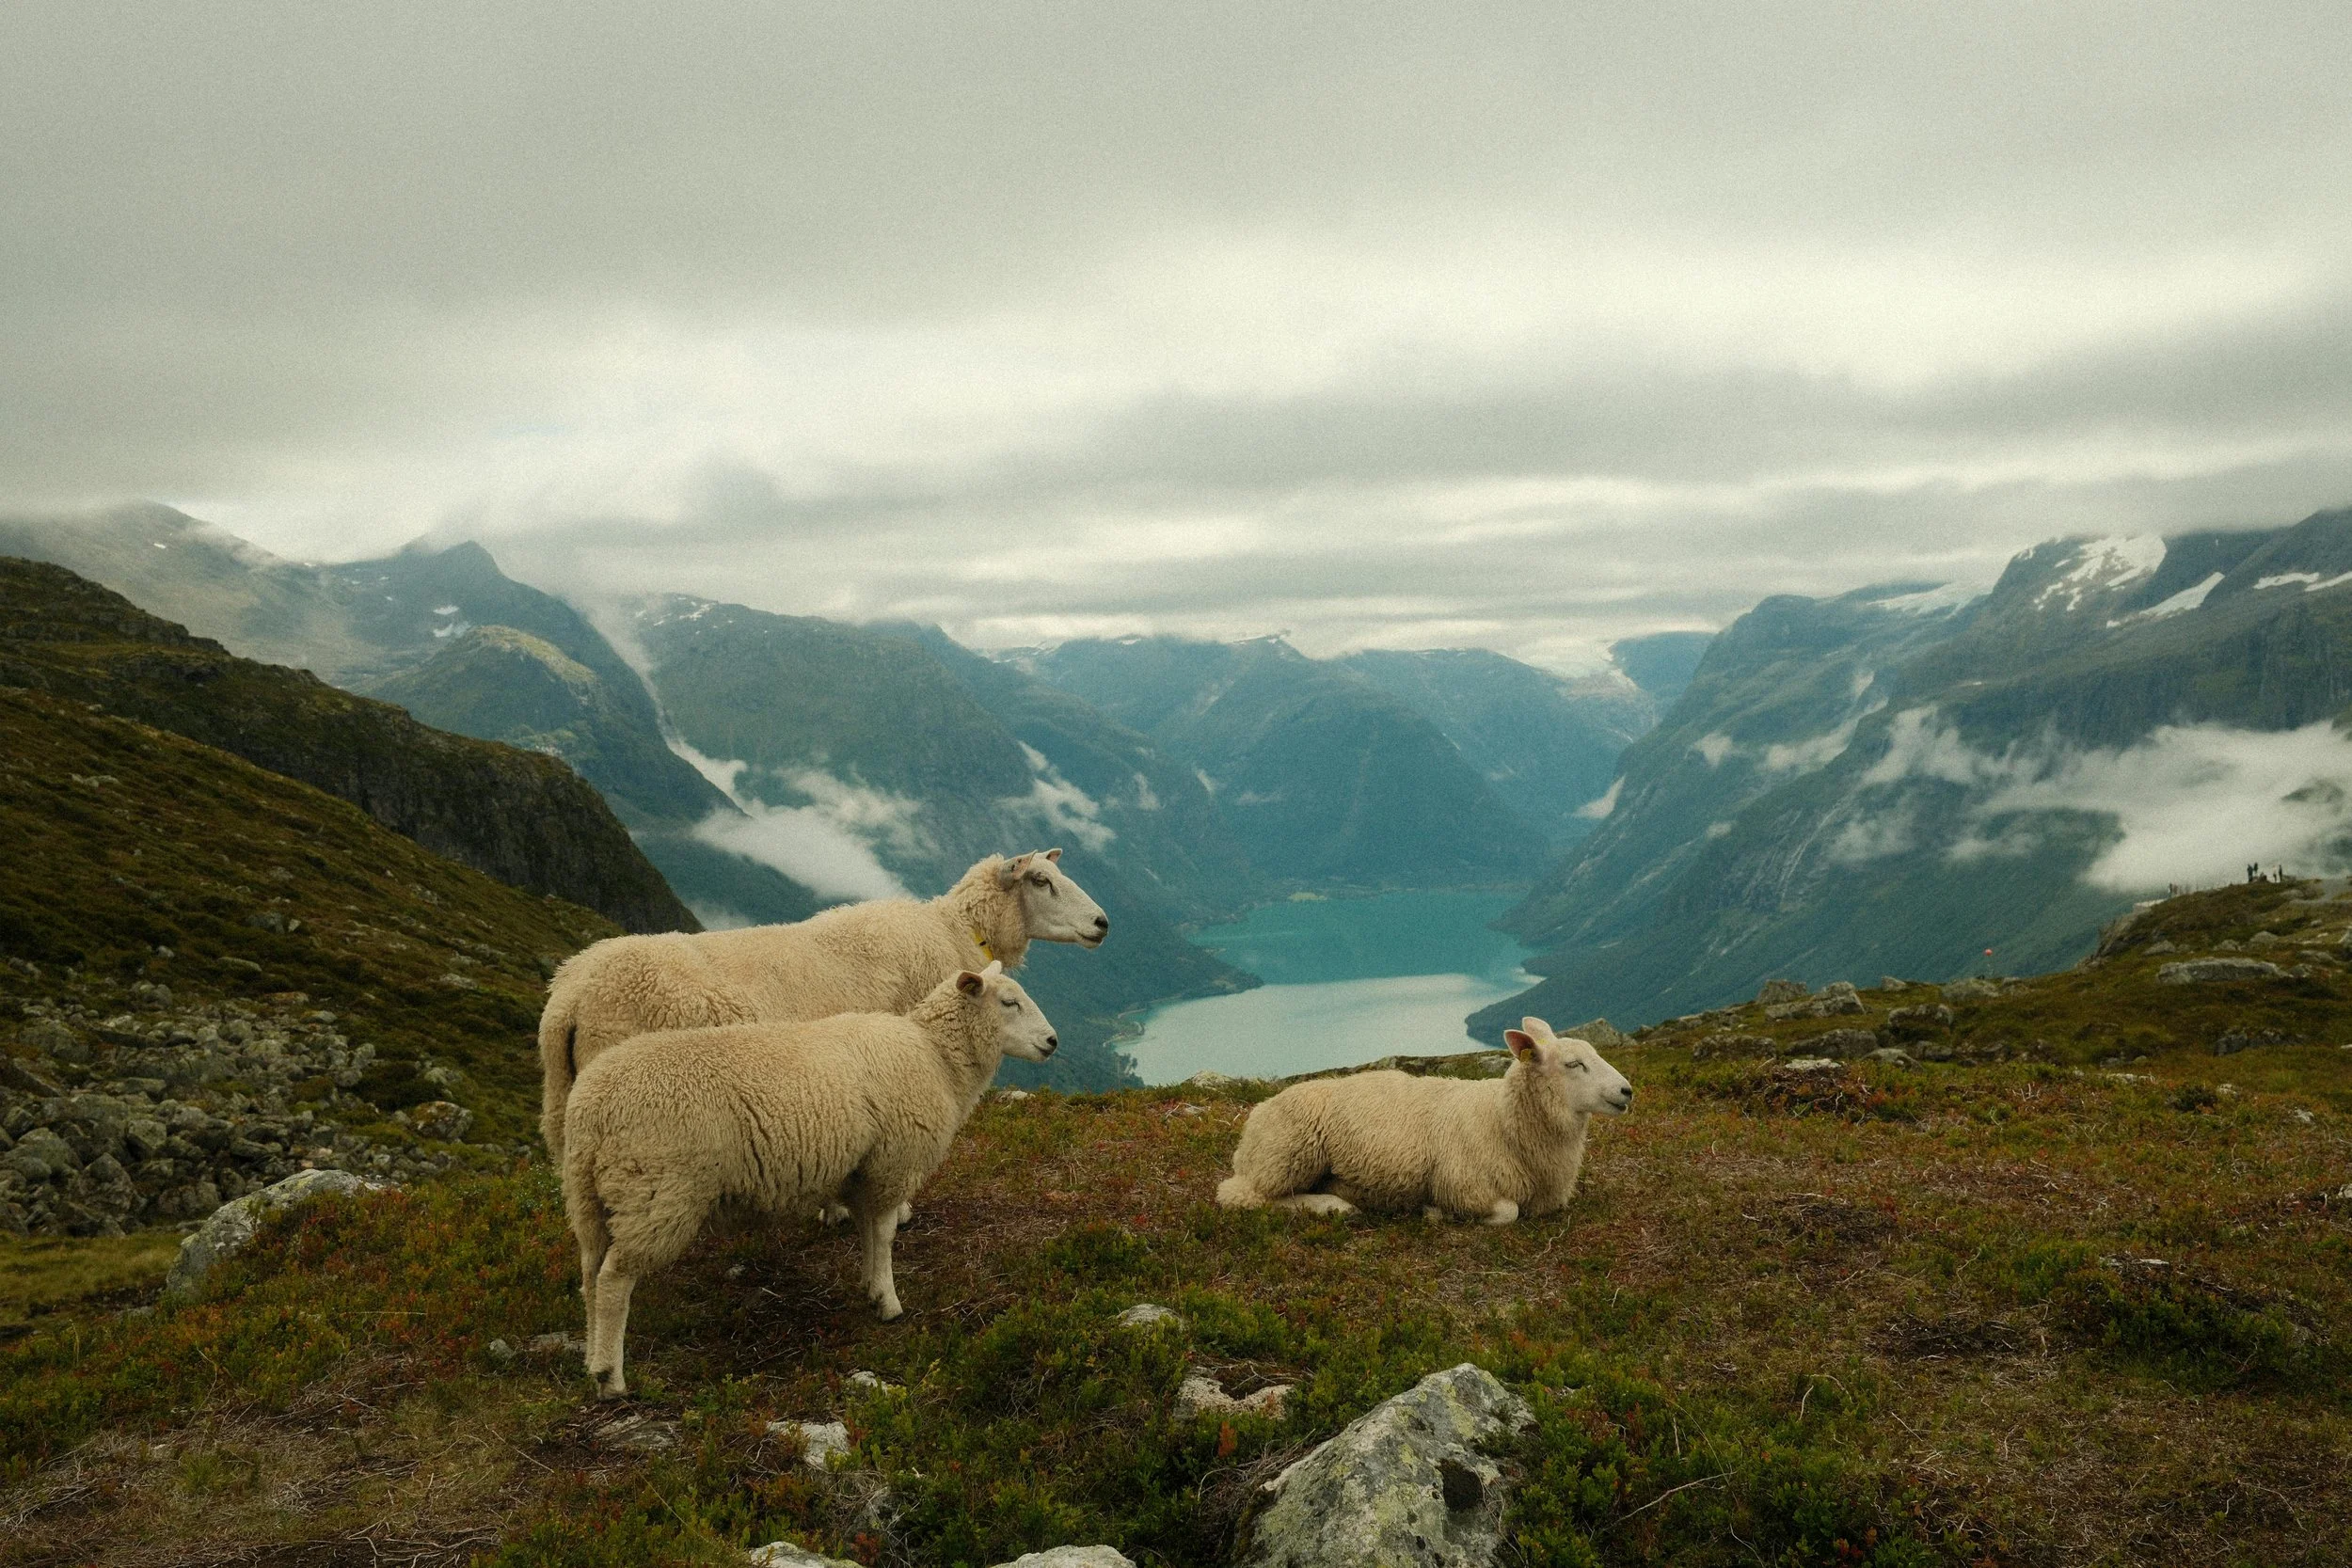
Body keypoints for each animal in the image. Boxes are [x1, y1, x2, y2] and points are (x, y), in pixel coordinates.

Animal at [564, 960, 1057, 1398]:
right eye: (1009, 1002)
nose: (1053, 1041)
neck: (934, 1055)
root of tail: (592, 1108)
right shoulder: (892, 1164)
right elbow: (884, 1235)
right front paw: (888, 1301)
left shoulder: (862, 1169)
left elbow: (867, 1233)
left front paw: (868, 1286)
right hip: (656, 1194)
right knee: (614, 1282)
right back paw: (610, 1379)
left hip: (591, 1197)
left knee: (590, 1275)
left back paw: (591, 1358)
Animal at [1214, 1018, 1632, 1224]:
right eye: (1574, 1064)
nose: (1627, 1090)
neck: (1501, 1118)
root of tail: (1255, 1118)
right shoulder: (1465, 1186)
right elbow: (1508, 1213)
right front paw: (1435, 1213)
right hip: (1288, 1155)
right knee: (1242, 1195)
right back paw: (1334, 1207)